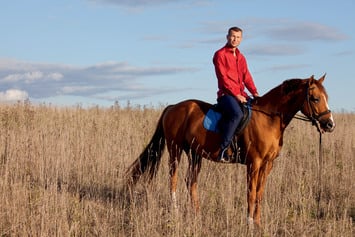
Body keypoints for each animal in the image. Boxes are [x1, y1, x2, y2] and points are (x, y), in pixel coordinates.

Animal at [126, 74, 336, 226]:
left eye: (326, 97)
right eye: (315, 98)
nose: (330, 125)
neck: (269, 119)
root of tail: (173, 107)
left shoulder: (268, 164)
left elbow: (260, 193)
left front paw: (258, 222)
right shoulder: (254, 163)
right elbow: (251, 192)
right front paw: (249, 223)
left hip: (194, 154)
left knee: (190, 182)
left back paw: (197, 213)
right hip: (174, 149)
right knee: (174, 179)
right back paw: (176, 210)